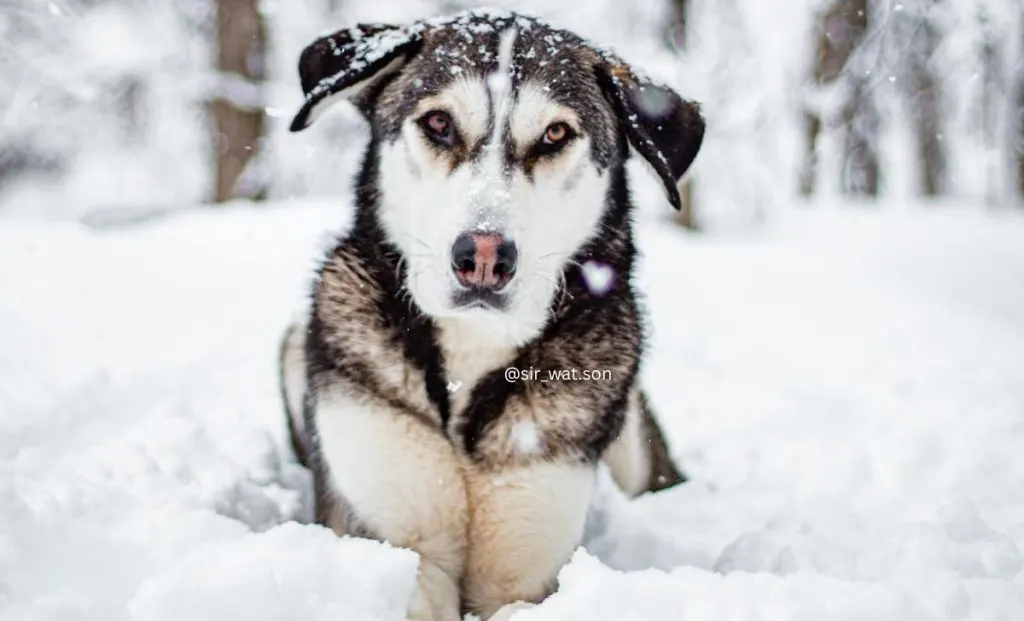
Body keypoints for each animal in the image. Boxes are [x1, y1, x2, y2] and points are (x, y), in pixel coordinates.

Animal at [278, 7, 704, 618]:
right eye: (438, 123)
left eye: (555, 134)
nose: (482, 258)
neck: (471, 351)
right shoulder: (392, 534)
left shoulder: (525, 568)